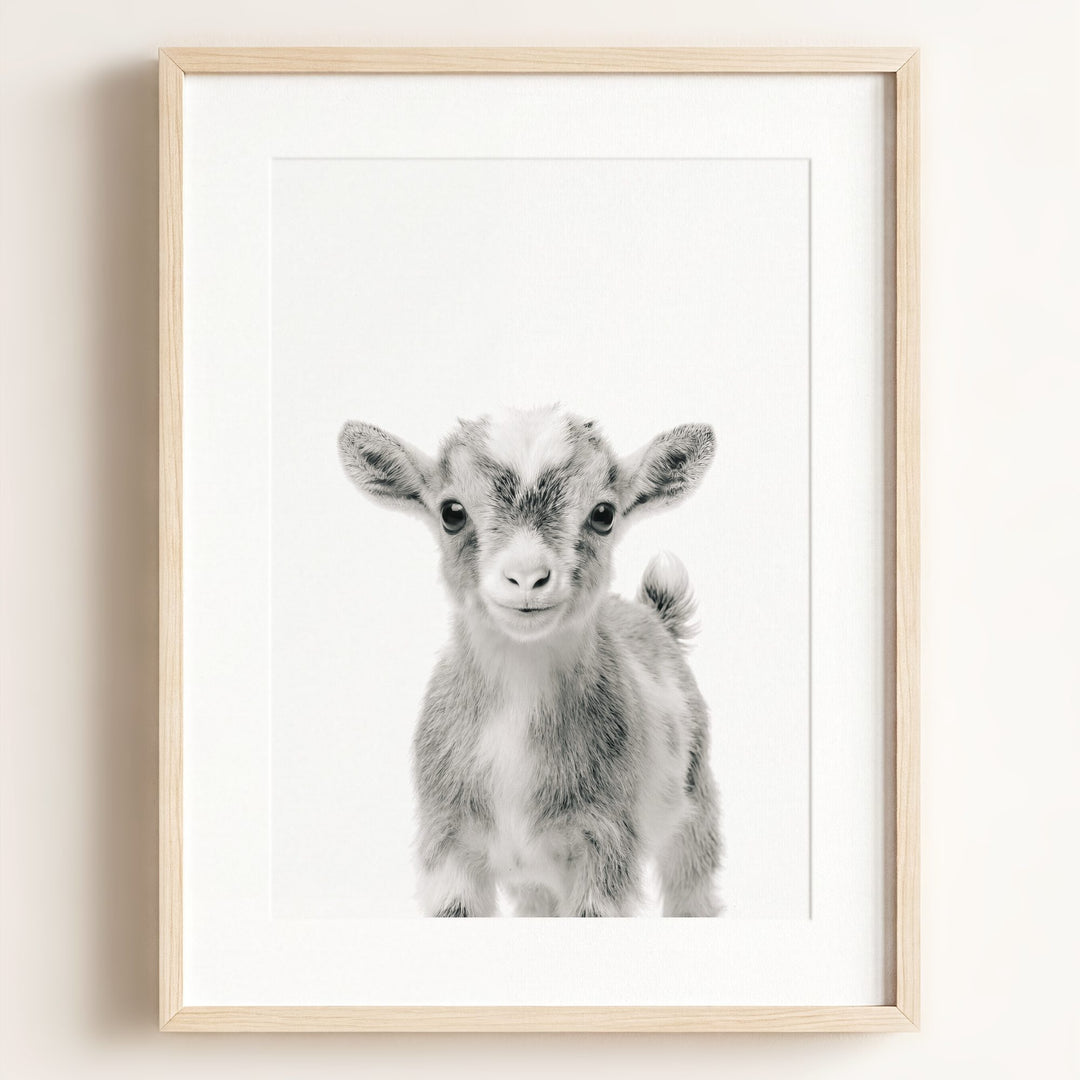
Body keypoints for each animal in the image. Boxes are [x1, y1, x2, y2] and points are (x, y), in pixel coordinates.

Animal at [339, 405, 721, 916]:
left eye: (604, 514)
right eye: (451, 512)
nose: (526, 578)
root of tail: (654, 615)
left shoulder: (605, 843)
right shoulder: (448, 845)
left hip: (696, 807)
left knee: (693, 887)